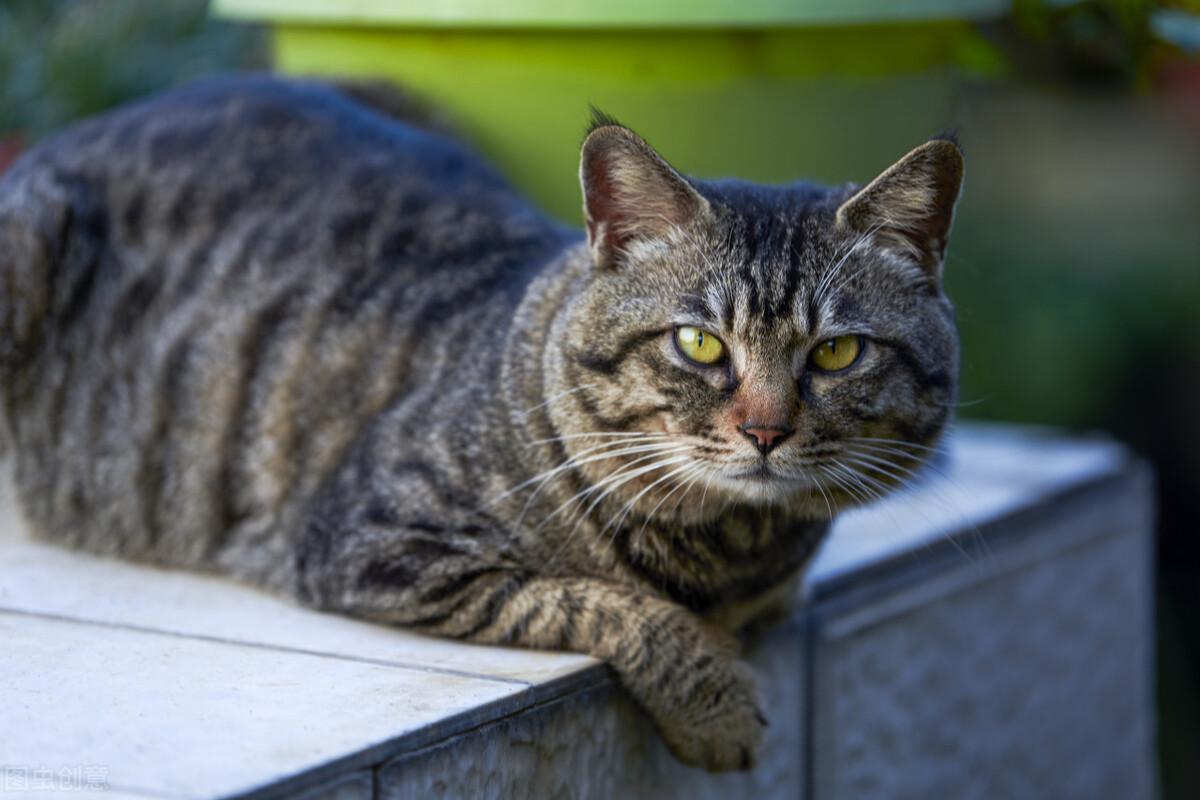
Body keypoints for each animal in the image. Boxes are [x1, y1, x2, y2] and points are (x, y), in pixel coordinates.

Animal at [0, 74, 960, 767]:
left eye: (836, 353)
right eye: (697, 343)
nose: (765, 430)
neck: (730, 552)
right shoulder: (373, 542)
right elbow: (597, 602)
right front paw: (715, 703)